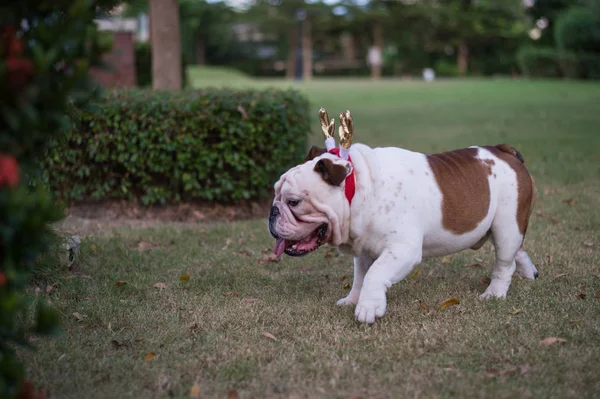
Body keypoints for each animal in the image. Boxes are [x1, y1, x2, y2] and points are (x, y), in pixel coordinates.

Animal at [268, 109, 540, 324]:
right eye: (275, 194)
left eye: (293, 202)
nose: (273, 212)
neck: (360, 188)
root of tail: (504, 151)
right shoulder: (365, 250)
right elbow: (360, 277)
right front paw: (353, 300)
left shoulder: (403, 249)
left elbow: (376, 274)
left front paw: (368, 308)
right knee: (518, 251)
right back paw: (529, 274)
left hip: (506, 227)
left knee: (505, 262)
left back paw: (494, 293)